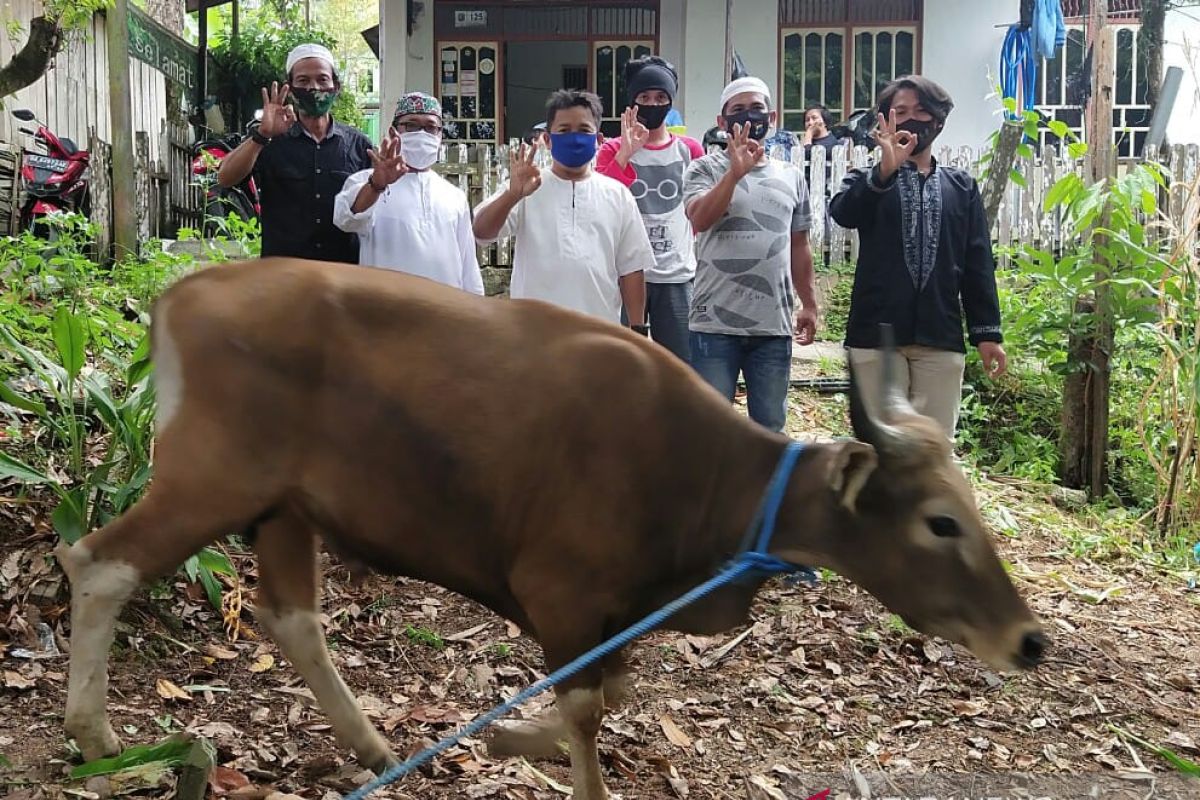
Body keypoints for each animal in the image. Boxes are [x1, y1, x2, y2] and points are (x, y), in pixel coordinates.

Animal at [56, 260, 1041, 796]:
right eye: (941, 523)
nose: (1028, 641)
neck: (702, 469)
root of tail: (184, 294)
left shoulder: (617, 611)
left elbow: (609, 691)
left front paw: (505, 738)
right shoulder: (563, 593)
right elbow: (587, 704)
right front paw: (559, 764)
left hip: (284, 508)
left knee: (292, 619)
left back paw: (371, 744)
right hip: (213, 482)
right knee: (98, 563)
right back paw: (97, 737)